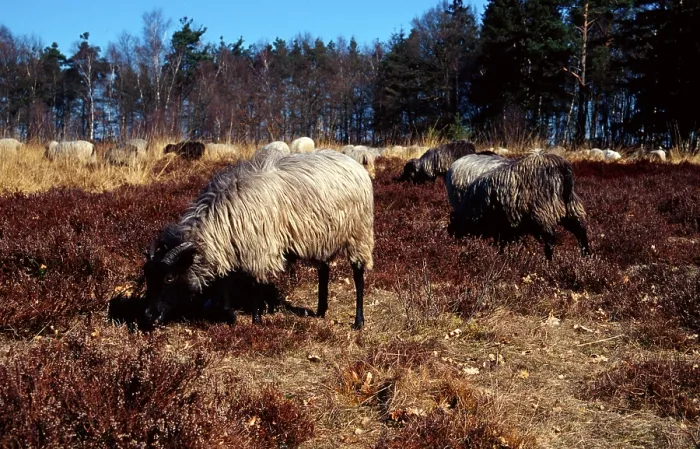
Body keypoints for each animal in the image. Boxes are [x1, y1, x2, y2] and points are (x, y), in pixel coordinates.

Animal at [143, 149, 374, 330]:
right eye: (147, 277)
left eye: (169, 277)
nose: (149, 316)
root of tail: (355, 164)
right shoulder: (230, 247)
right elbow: (225, 283)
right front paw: (230, 316)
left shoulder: (258, 250)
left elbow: (255, 286)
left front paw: (256, 320)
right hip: (322, 236)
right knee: (324, 270)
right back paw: (320, 311)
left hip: (359, 232)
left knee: (358, 275)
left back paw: (359, 321)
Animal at [448, 151, 590, 261]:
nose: (453, 240)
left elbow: (501, 240)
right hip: (571, 207)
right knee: (581, 231)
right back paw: (586, 257)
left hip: (544, 210)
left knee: (550, 239)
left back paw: (549, 261)